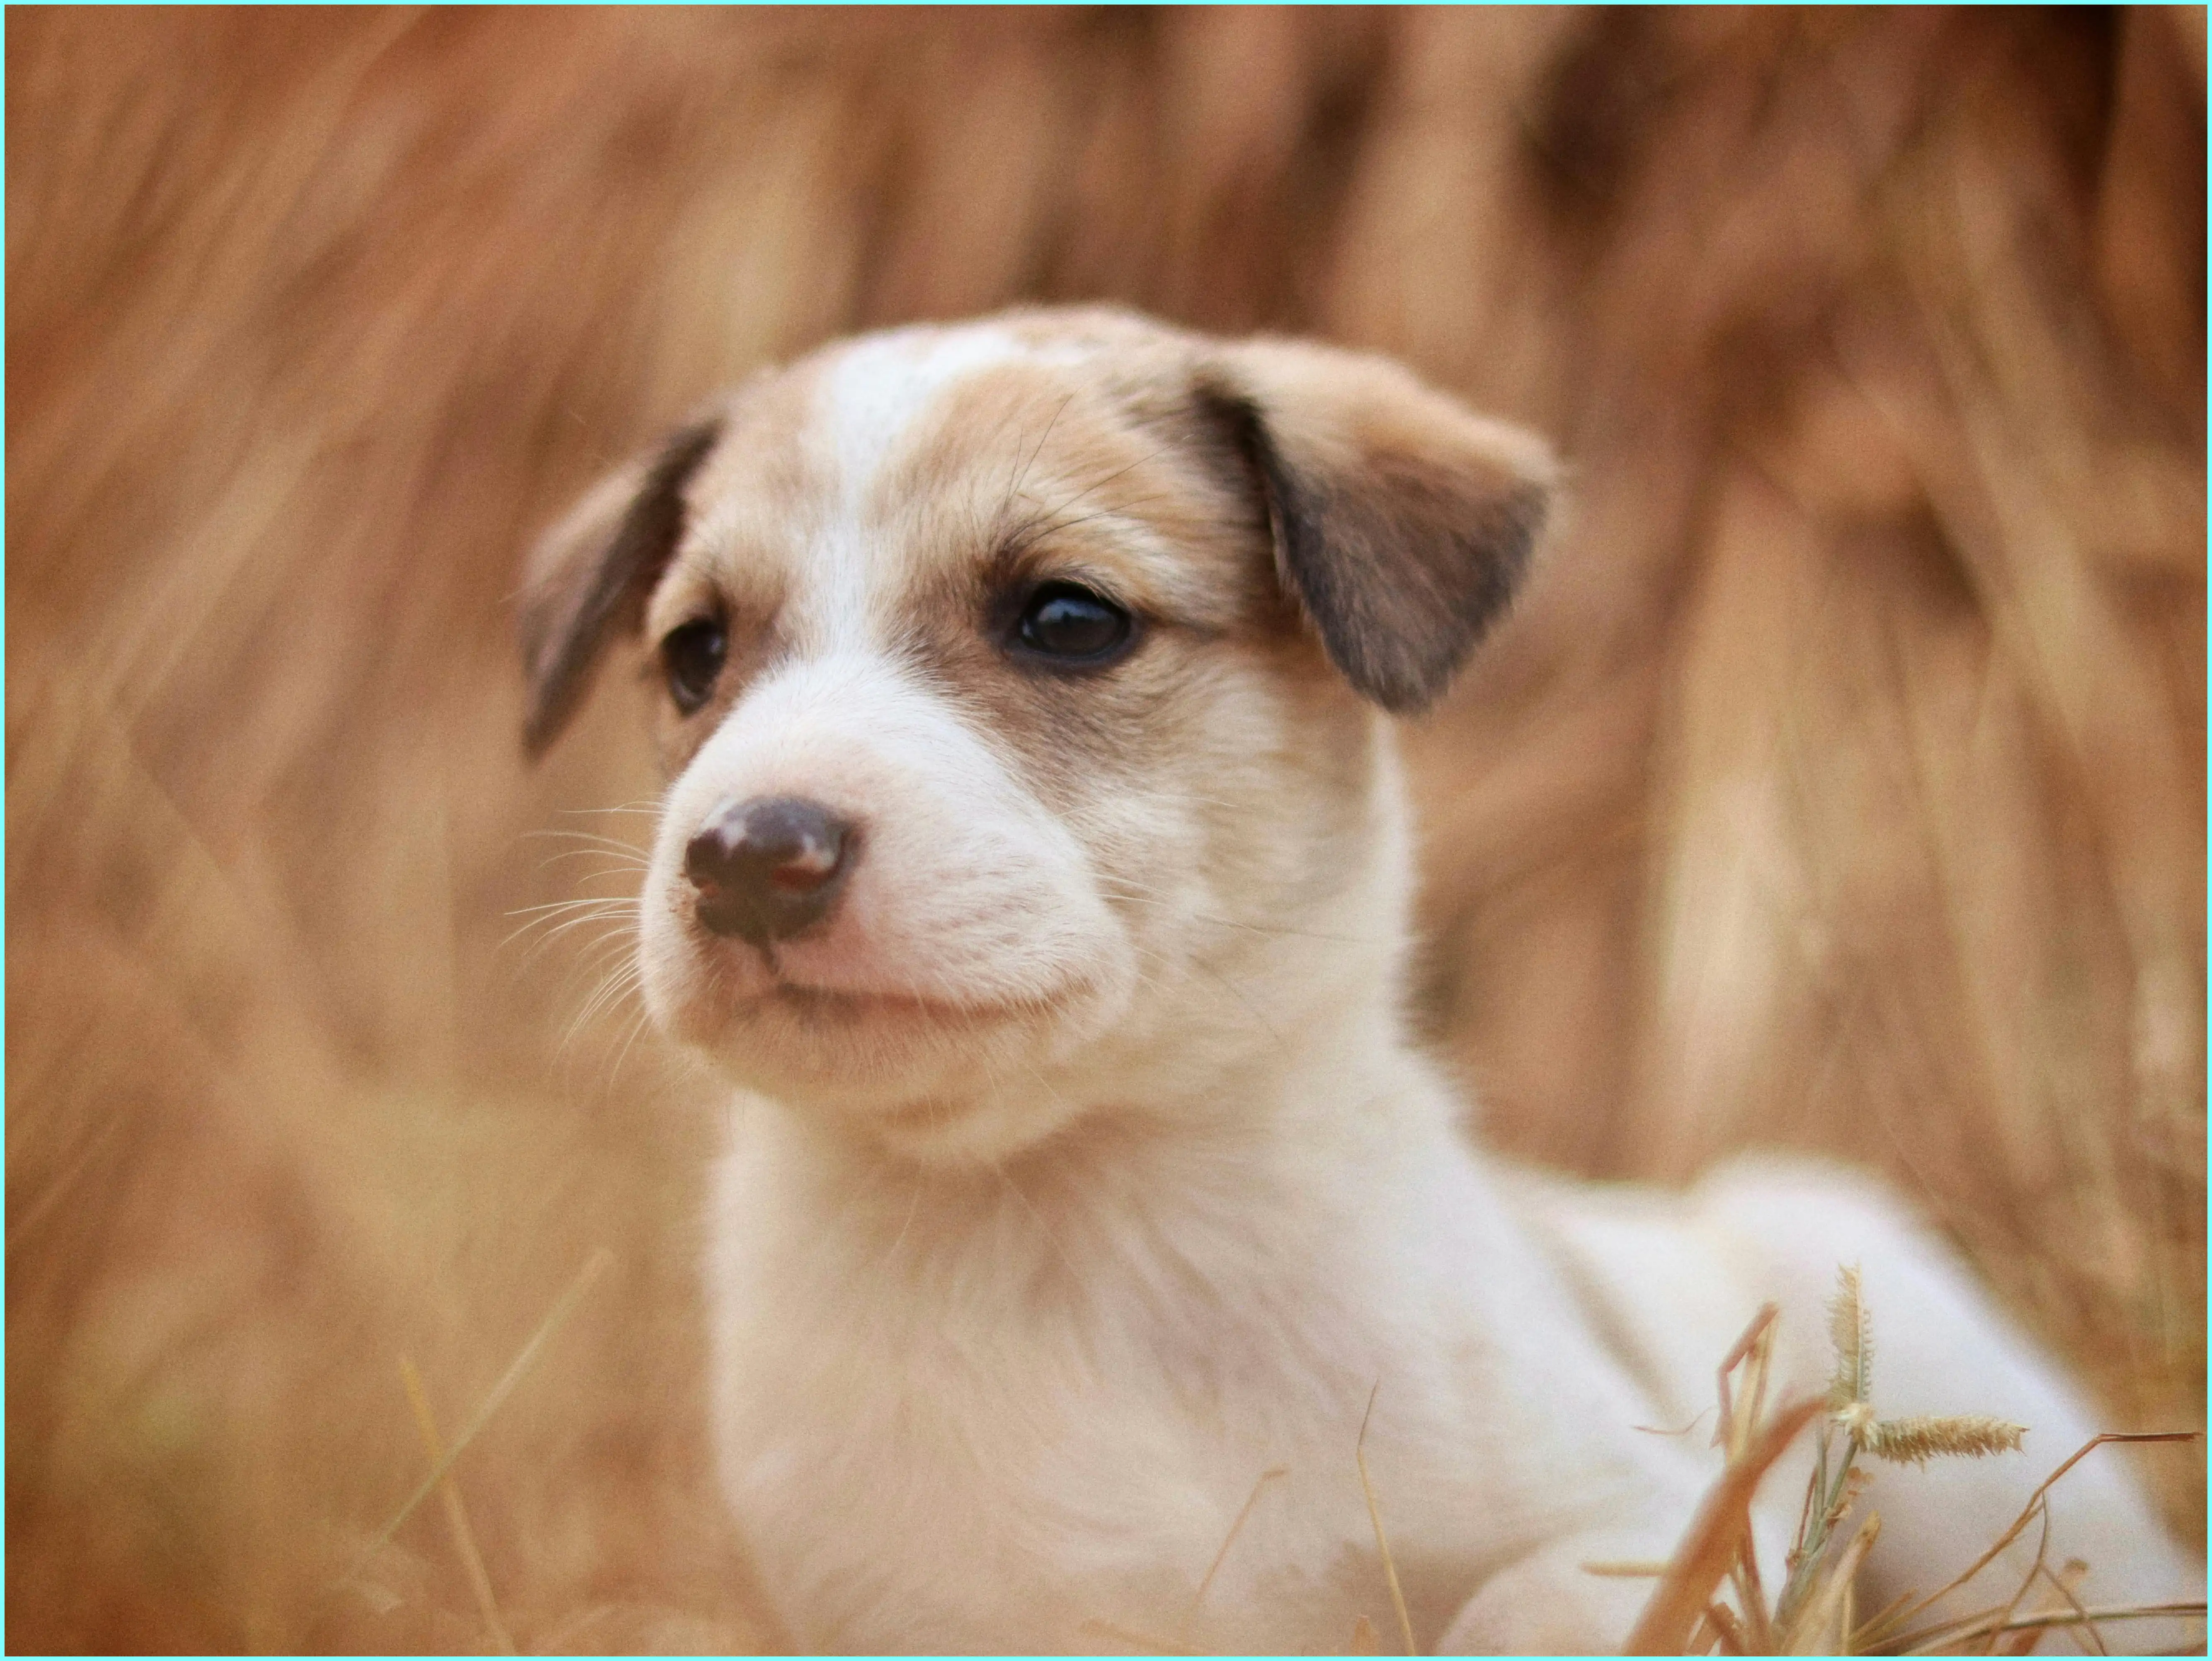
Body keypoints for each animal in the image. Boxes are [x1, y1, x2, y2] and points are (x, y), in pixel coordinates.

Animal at [517, 309, 2194, 1654]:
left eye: (1066, 618)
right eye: (693, 656)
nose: (746, 856)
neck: (1069, 1229)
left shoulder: (1656, 1524)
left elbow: (1513, 1609)